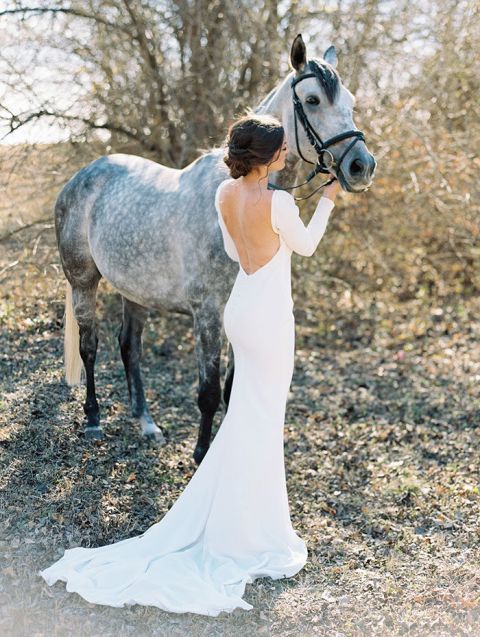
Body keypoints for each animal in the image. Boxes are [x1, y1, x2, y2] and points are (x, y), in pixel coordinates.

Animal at [56, 33, 376, 462]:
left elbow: (229, 388)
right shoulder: (207, 314)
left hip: (134, 290)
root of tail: (82, 177)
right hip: (83, 281)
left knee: (129, 349)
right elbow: (208, 392)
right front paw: (201, 454)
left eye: (350, 103)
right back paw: (92, 420)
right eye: (312, 100)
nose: (362, 166)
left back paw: (147, 424)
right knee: (90, 347)